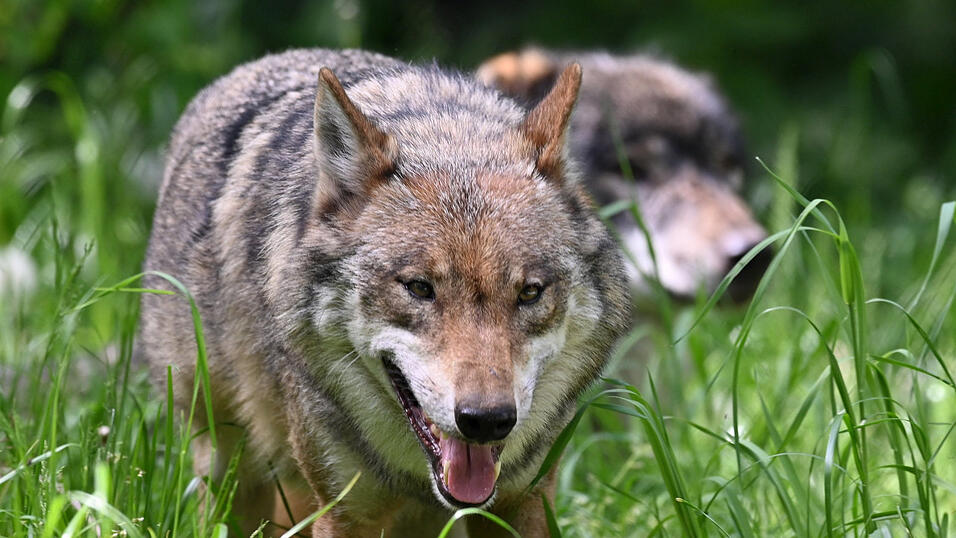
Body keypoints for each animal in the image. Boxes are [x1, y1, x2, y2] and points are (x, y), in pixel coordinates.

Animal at [139, 48, 629, 536]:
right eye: (419, 288)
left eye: (529, 293)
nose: (487, 421)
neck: (447, 133)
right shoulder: (343, 512)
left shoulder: (521, 500)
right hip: (229, 471)